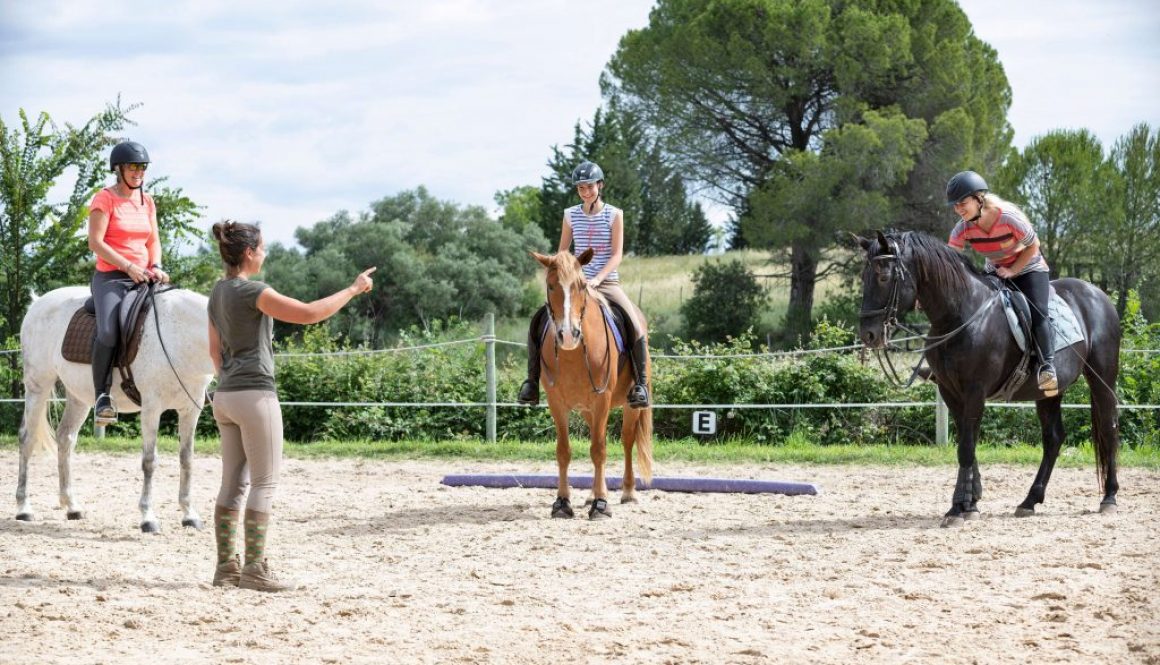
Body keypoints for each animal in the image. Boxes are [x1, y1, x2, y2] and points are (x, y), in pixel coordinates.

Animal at [16, 283, 214, 531]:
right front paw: (148, 518)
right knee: (27, 439)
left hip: (78, 397)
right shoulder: (151, 408)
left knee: (65, 439)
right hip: (38, 386)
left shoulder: (190, 409)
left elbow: (186, 459)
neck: (180, 336)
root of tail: (38, 302)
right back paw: (24, 508)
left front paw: (189, 514)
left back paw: (72, 507)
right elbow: (149, 461)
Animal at [528, 248, 649, 517]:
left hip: (630, 404)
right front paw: (562, 503)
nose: (568, 335)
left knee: (627, 440)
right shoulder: (556, 403)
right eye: (550, 286)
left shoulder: (602, 400)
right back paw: (593, 493)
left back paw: (628, 492)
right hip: (587, 410)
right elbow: (564, 451)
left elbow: (599, 450)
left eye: (582, 286)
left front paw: (601, 505)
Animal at [858, 230, 1118, 526]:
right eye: (863, 277)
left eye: (882, 276)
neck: (961, 315)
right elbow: (966, 444)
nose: (868, 334)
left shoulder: (975, 391)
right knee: (1053, 438)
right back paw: (1030, 501)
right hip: (1048, 392)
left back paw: (1109, 497)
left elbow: (966, 447)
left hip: (1103, 379)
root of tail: (1098, 294)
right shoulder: (950, 391)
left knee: (1109, 428)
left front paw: (959, 508)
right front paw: (970, 501)